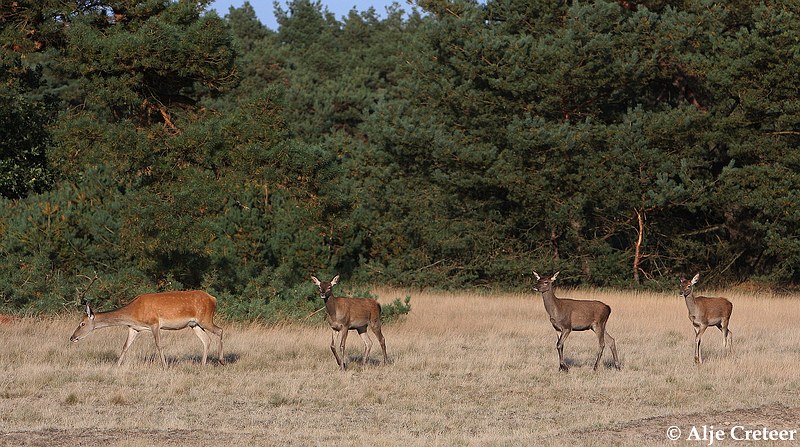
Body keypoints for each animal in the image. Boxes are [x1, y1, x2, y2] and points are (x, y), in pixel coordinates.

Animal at [70, 286, 225, 370]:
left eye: (82, 323)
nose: (72, 337)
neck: (134, 313)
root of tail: (213, 299)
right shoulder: (134, 328)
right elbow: (125, 346)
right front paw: (117, 365)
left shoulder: (154, 323)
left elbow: (159, 345)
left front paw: (165, 366)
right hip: (194, 324)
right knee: (206, 339)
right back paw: (203, 364)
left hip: (205, 319)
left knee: (220, 330)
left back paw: (221, 360)